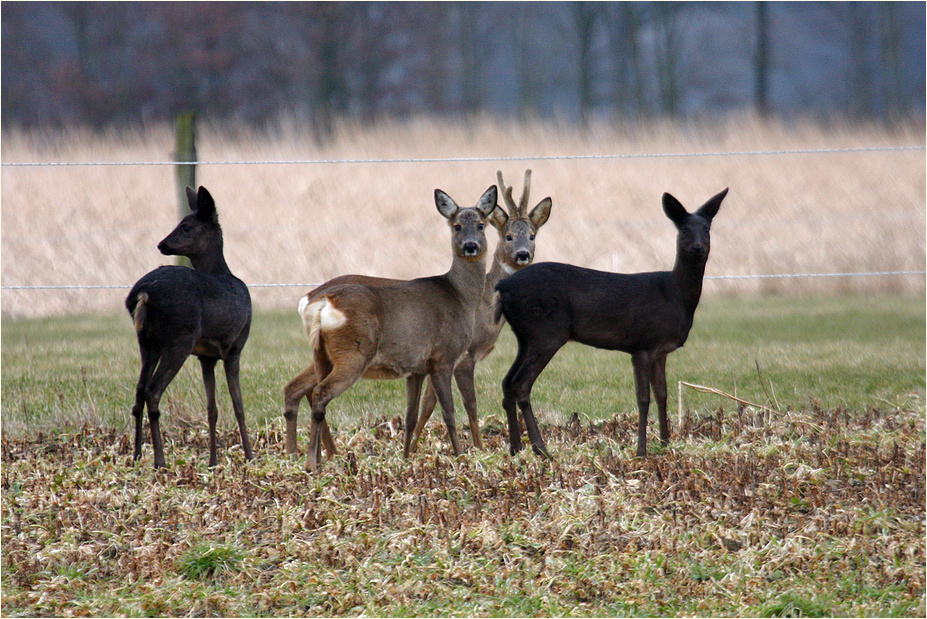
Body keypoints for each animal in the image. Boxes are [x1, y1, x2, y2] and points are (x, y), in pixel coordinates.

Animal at [123, 186, 256, 468]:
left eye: (186, 226)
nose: (161, 244)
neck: (224, 273)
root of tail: (144, 293)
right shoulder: (235, 346)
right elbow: (238, 405)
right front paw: (250, 456)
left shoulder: (206, 357)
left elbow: (212, 409)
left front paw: (213, 461)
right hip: (179, 337)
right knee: (152, 390)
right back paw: (159, 460)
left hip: (147, 341)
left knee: (139, 390)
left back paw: (137, 455)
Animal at [284, 172, 552, 458]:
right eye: (508, 236)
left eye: (533, 235)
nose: (523, 255)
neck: (477, 302)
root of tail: (313, 299)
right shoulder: (456, 357)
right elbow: (463, 406)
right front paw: (472, 452)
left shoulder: (426, 365)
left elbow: (420, 411)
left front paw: (409, 453)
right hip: (352, 355)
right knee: (314, 391)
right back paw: (316, 455)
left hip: (324, 353)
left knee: (298, 388)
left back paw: (307, 454)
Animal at [496, 189, 728, 460]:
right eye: (684, 230)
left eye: (707, 229)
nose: (698, 248)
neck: (674, 295)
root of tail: (502, 286)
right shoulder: (642, 344)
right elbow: (643, 398)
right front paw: (641, 451)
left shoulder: (661, 350)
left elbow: (663, 394)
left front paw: (665, 444)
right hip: (546, 332)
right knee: (520, 383)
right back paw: (541, 450)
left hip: (526, 336)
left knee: (506, 382)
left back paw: (516, 448)